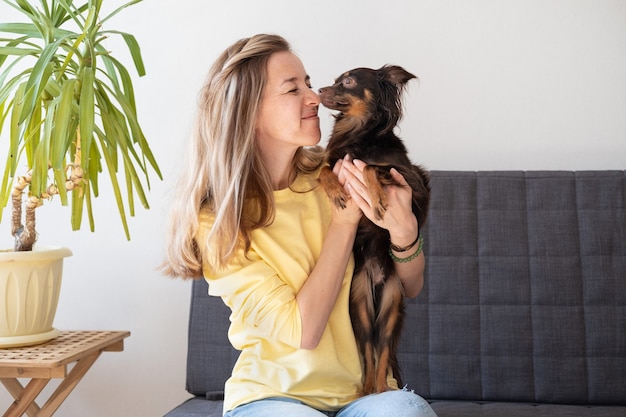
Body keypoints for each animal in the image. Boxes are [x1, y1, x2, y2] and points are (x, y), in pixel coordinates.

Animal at [316, 64, 428, 394]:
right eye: (335, 81)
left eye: (349, 81)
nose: (319, 90)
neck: (357, 132)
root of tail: (378, 277)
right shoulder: (335, 161)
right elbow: (324, 169)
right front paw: (337, 192)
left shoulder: (414, 181)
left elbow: (370, 166)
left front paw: (377, 197)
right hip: (360, 306)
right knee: (368, 349)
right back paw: (367, 390)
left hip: (392, 307)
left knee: (385, 351)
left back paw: (380, 388)